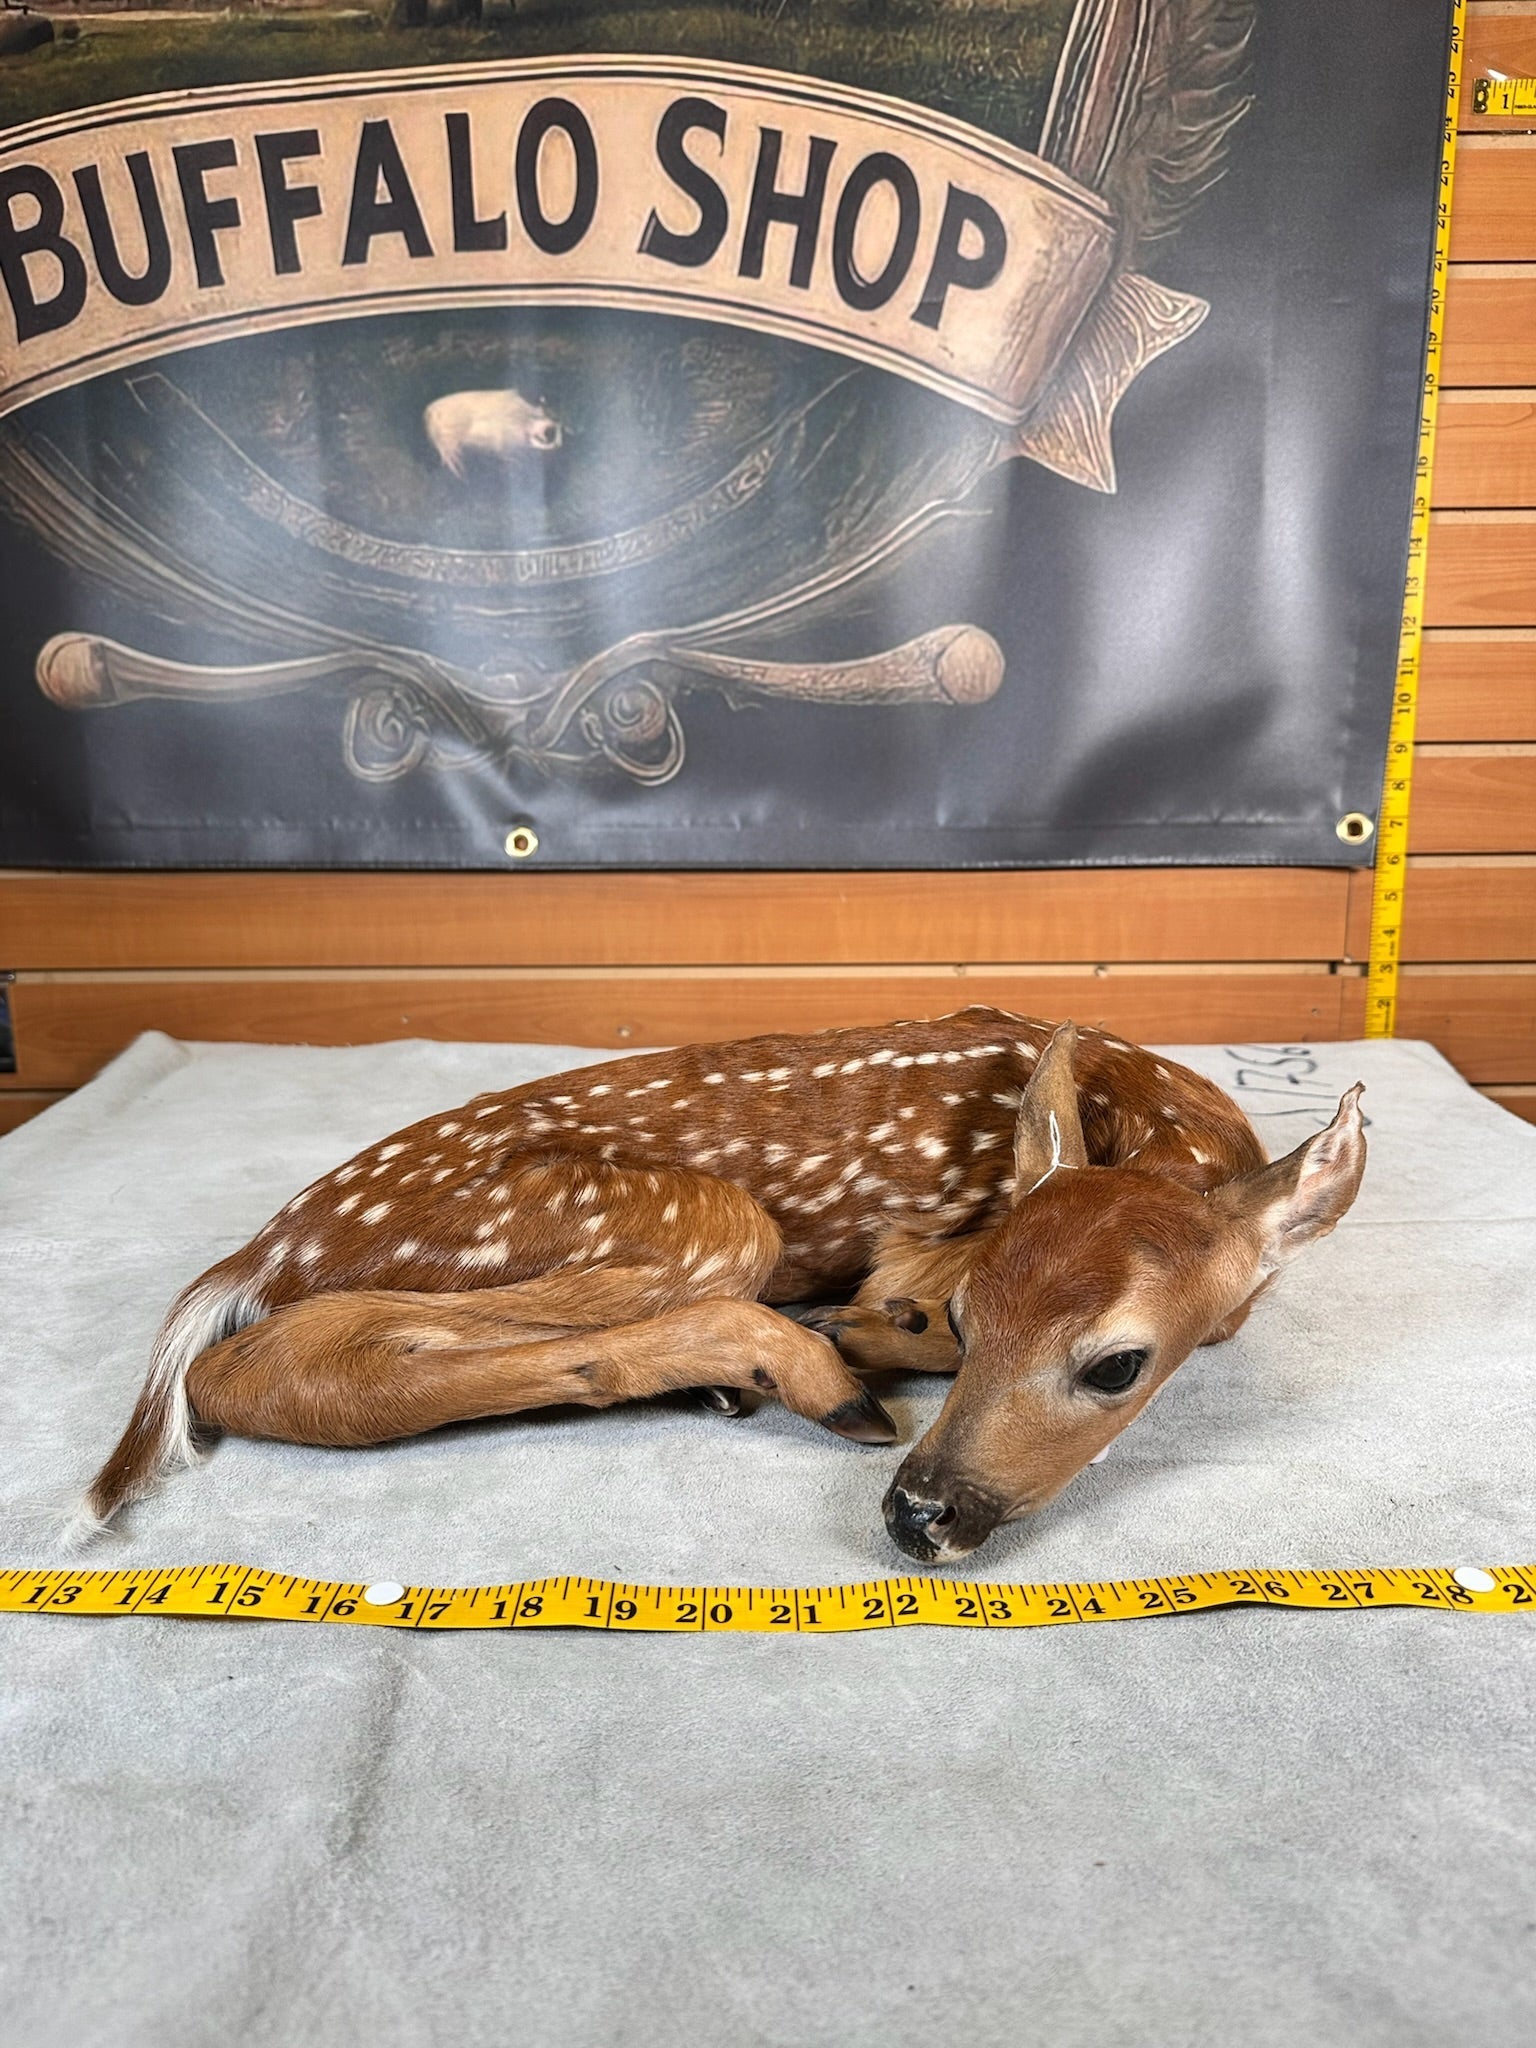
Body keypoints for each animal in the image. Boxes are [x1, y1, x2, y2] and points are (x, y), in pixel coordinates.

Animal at [74, 1010, 1366, 1561]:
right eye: (968, 1315)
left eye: (1115, 1364)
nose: (920, 1511)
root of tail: (260, 1252)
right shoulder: (922, 1245)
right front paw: (861, 1334)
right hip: (699, 1219)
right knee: (266, 1362)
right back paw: (796, 1371)